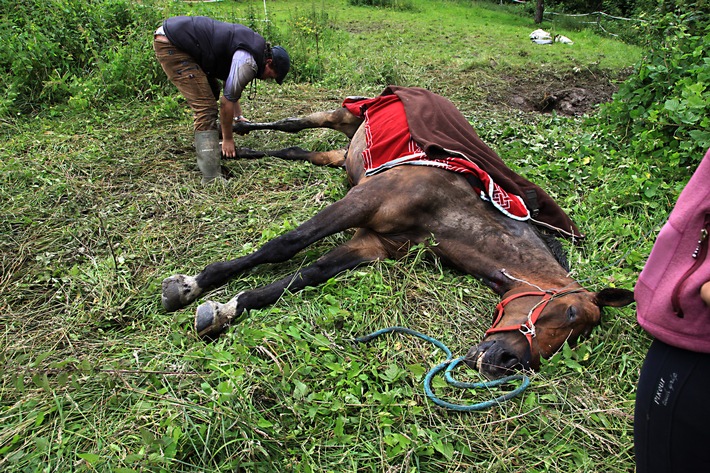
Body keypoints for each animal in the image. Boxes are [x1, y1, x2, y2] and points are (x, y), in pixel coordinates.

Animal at [164, 86, 636, 378]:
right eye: (570, 314)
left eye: (575, 340)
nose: (506, 362)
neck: (448, 207)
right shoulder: (360, 202)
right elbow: (285, 245)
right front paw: (191, 286)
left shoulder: (373, 244)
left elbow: (305, 275)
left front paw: (226, 309)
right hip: (345, 113)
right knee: (294, 124)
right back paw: (237, 131)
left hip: (343, 150)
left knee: (298, 149)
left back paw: (240, 150)